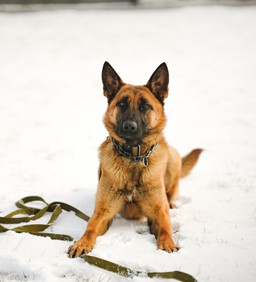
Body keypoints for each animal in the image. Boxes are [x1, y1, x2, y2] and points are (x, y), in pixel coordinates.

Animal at [67, 61, 202, 258]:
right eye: (122, 104)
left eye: (145, 106)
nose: (129, 127)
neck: (133, 157)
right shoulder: (104, 212)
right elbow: (90, 227)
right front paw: (82, 243)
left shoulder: (158, 212)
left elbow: (165, 228)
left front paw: (167, 244)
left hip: (173, 156)